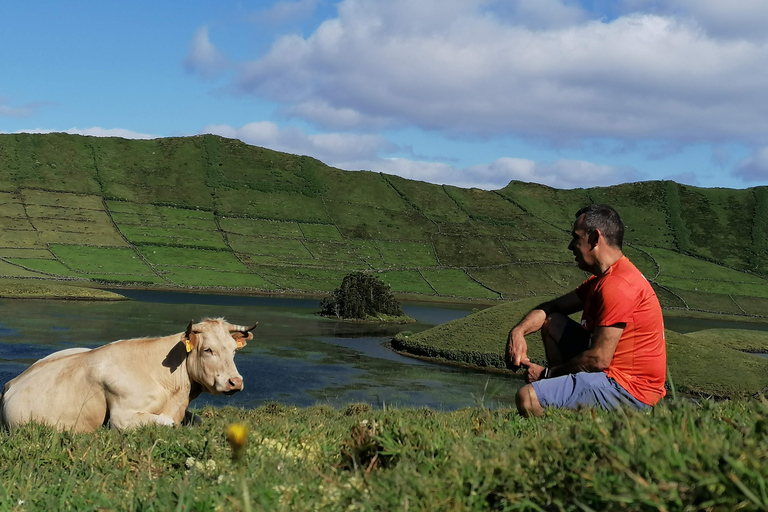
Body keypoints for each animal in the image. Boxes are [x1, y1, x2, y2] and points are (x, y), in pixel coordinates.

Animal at [0, 316, 258, 432]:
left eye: (234, 350)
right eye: (208, 350)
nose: (235, 382)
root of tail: (12, 382)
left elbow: (197, 419)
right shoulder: (122, 416)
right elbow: (167, 423)